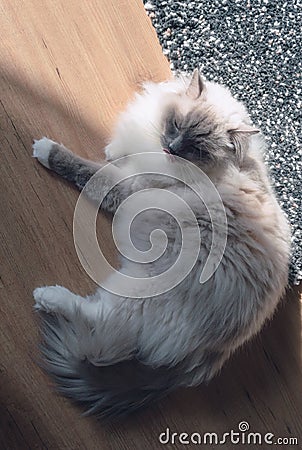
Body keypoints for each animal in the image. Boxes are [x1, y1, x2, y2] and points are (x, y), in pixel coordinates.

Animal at [31, 69, 290, 418]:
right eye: (177, 125)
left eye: (196, 149)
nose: (172, 148)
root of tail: (210, 355)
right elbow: (118, 153)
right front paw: (114, 149)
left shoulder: (127, 188)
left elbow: (89, 172)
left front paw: (46, 150)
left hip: (137, 291)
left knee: (100, 327)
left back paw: (47, 297)